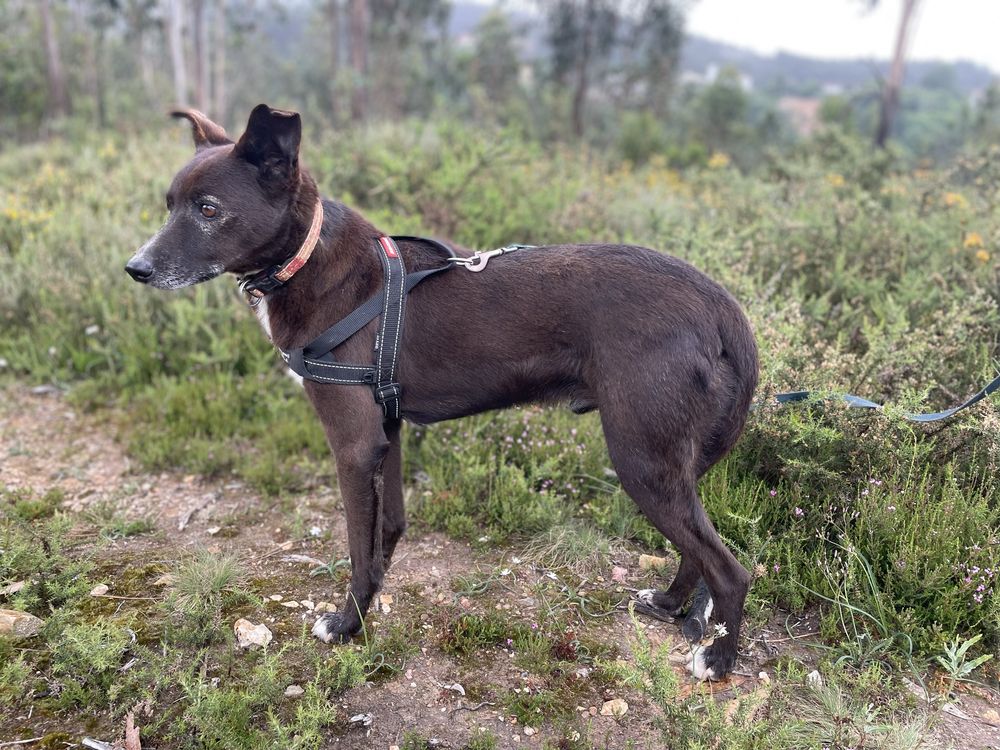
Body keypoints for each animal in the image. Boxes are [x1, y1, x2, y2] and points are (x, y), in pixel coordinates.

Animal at [131, 104, 756, 680]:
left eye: (209, 210)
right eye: (169, 204)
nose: (135, 269)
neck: (310, 262)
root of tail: (720, 307)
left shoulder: (353, 445)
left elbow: (358, 547)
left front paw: (348, 623)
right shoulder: (386, 428)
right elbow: (387, 527)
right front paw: (373, 596)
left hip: (641, 459)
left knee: (729, 568)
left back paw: (718, 657)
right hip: (672, 462)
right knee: (697, 550)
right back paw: (670, 603)